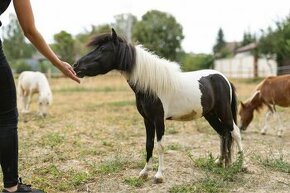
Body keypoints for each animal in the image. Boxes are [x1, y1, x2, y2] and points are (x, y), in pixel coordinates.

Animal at [73, 28, 244, 182]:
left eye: (103, 49)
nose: (76, 66)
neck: (151, 87)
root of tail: (225, 79)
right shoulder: (147, 120)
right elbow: (149, 144)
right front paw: (144, 173)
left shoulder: (158, 119)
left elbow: (160, 145)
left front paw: (159, 175)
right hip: (210, 114)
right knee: (223, 133)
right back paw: (221, 162)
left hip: (224, 112)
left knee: (235, 133)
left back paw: (243, 166)